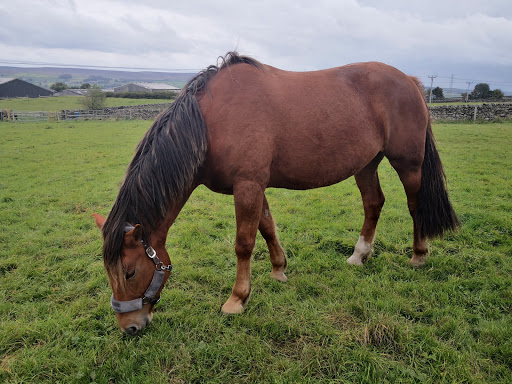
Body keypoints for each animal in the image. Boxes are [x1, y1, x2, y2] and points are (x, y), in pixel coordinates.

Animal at [93, 51, 460, 332]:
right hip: (367, 165)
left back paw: (419, 255)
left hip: (408, 163)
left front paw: (237, 299)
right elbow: (267, 227)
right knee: (373, 204)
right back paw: (359, 255)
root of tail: (409, 80)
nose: (129, 327)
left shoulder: (248, 184)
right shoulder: (254, 186)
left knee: (415, 205)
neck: (211, 122)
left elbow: (244, 243)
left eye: (130, 271)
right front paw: (279, 270)